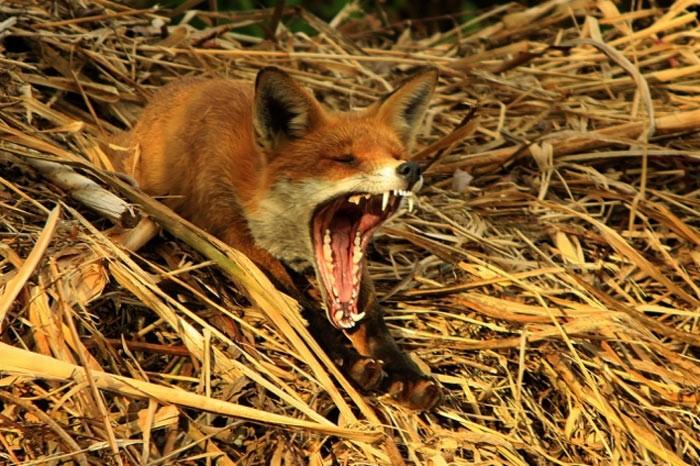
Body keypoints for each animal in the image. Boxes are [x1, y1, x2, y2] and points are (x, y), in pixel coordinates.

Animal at [107, 67, 440, 410]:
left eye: (397, 155)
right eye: (345, 160)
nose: (411, 168)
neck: (254, 183)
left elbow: (372, 318)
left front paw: (405, 372)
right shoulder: (237, 238)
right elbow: (299, 309)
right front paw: (346, 360)